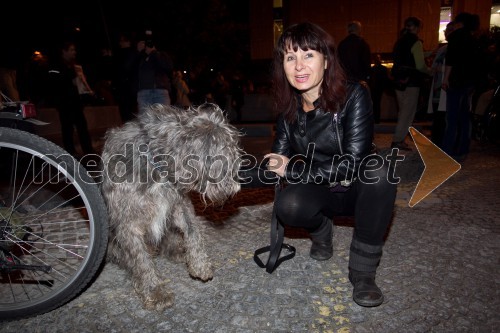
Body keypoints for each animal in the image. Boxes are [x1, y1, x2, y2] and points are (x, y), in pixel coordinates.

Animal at [101, 102, 242, 310]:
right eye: (228, 156)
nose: (234, 189)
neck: (156, 165)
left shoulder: (179, 204)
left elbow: (193, 232)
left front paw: (199, 264)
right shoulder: (129, 225)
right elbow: (141, 260)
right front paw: (154, 291)